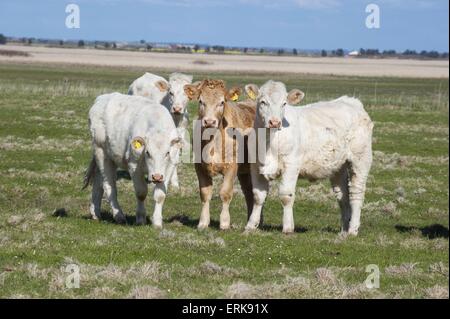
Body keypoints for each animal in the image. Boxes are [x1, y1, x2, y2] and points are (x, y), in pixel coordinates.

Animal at [83, 92, 182, 228]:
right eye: (147, 152)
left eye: (167, 153)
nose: (156, 177)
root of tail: (101, 99)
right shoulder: (134, 165)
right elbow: (141, 193)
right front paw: (140, 219)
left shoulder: (169, 168)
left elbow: (160, 195)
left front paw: (157, 222)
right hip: (101, 152)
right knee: (109, 186)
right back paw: (119, 216)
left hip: (108, 157)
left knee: (98, 182)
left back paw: (95, 213)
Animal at [185, 79, 256, 230]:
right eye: (201, 101)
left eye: (222, 102)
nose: (209, 121)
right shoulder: (199, 167)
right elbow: (205, 194)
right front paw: (203, 222)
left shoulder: (232, 166)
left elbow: (225, 193)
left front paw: (224, 222)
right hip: (245, 172)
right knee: (249, 193)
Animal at [244, 82, 374, 238]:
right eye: (263, 102)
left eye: (284, 103)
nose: (275, 122)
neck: (269, 141)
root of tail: (352, 102)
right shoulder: (255, 166)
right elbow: (258, 196)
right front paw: (251, 226)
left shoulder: (291, 164)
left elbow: (286, 195)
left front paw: (288, 227)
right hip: (338, 167)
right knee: (343, 196)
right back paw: (343, 230)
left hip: (361, 159)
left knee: (356, 193)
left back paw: (353, 230)